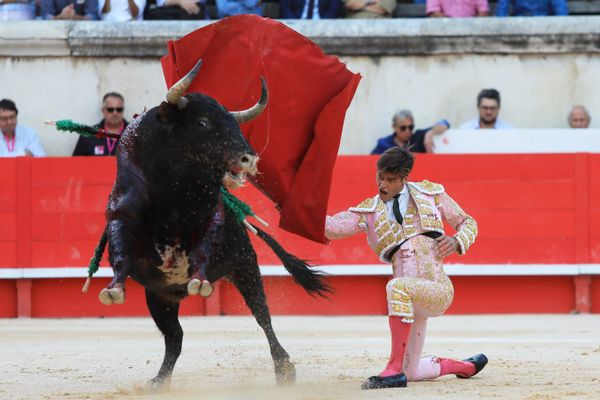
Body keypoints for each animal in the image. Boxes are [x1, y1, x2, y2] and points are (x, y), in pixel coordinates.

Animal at [99, 62, 332, 388]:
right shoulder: (121, 216)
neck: (172, 190)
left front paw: (199, 281)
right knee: (175, 338)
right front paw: (114, 289)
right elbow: (121, 251)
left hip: (246, 266)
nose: (250, 158)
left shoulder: (212, 220)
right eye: (202, 123)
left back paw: (284, 369)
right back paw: (159, 381)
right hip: (159, 297)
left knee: (263, 318)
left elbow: (204, 246)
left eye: (235, 125)